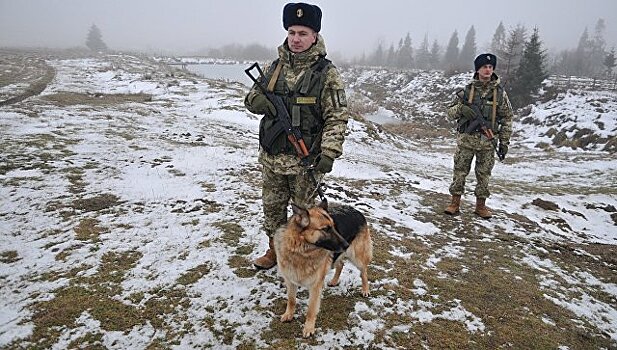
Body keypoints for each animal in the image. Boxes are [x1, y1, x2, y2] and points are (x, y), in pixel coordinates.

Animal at [274, 201, 370, 338]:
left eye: (334, 227)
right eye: (325, 229)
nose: (347, 244)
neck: (301, 251)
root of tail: (356, 210)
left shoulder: (315, 286)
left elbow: (311, 309)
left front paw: (309, 328)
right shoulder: (290, 280)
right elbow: (291, 300)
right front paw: (289, 314)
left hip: (357, 257)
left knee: (364, 272)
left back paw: (365, 289)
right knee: (340, 265)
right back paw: (334, 281)